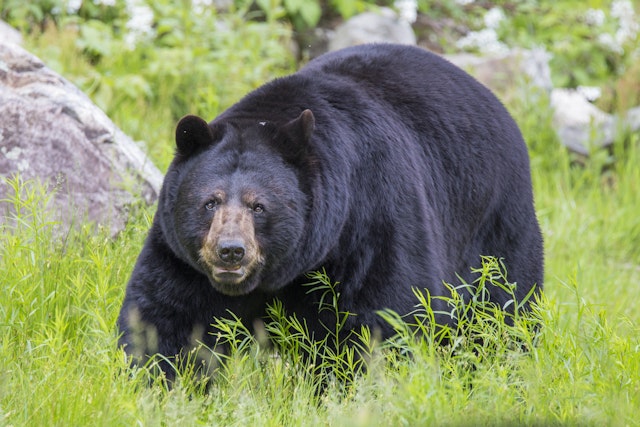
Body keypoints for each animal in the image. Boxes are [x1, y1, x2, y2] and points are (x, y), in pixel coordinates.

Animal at [117, 43, 543, 378]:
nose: (231, 251)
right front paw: (160, 381)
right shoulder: (183, 257)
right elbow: (165, 316)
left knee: (501, 310)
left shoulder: (372, 220)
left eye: (259, 206)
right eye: (210, 201)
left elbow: (383, 317)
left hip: (494, 224)